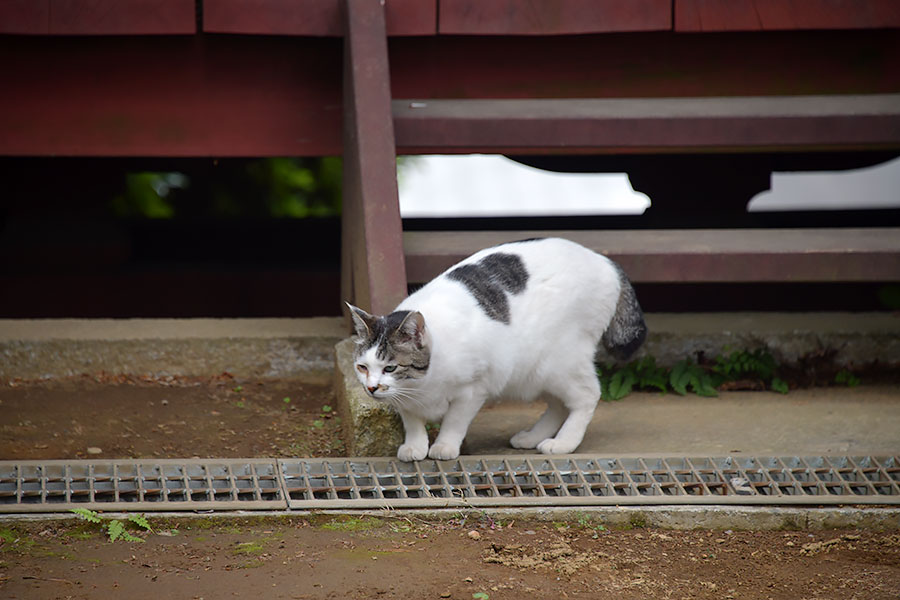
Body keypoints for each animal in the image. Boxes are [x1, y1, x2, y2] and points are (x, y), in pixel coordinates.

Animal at [344, 237, 648, 462]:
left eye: (390, 367)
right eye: (362, 367)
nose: (371, 388)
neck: (421, 385)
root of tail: (604, 259)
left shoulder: (473, 390)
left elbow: (454, 421)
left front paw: (444, 446)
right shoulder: (405, 401)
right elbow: (413, 422)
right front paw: (416, 447)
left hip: (560, 362)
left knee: (587, 396)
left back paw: (563, 442)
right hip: (537, 372)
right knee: (558, 404)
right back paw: (533, 437)